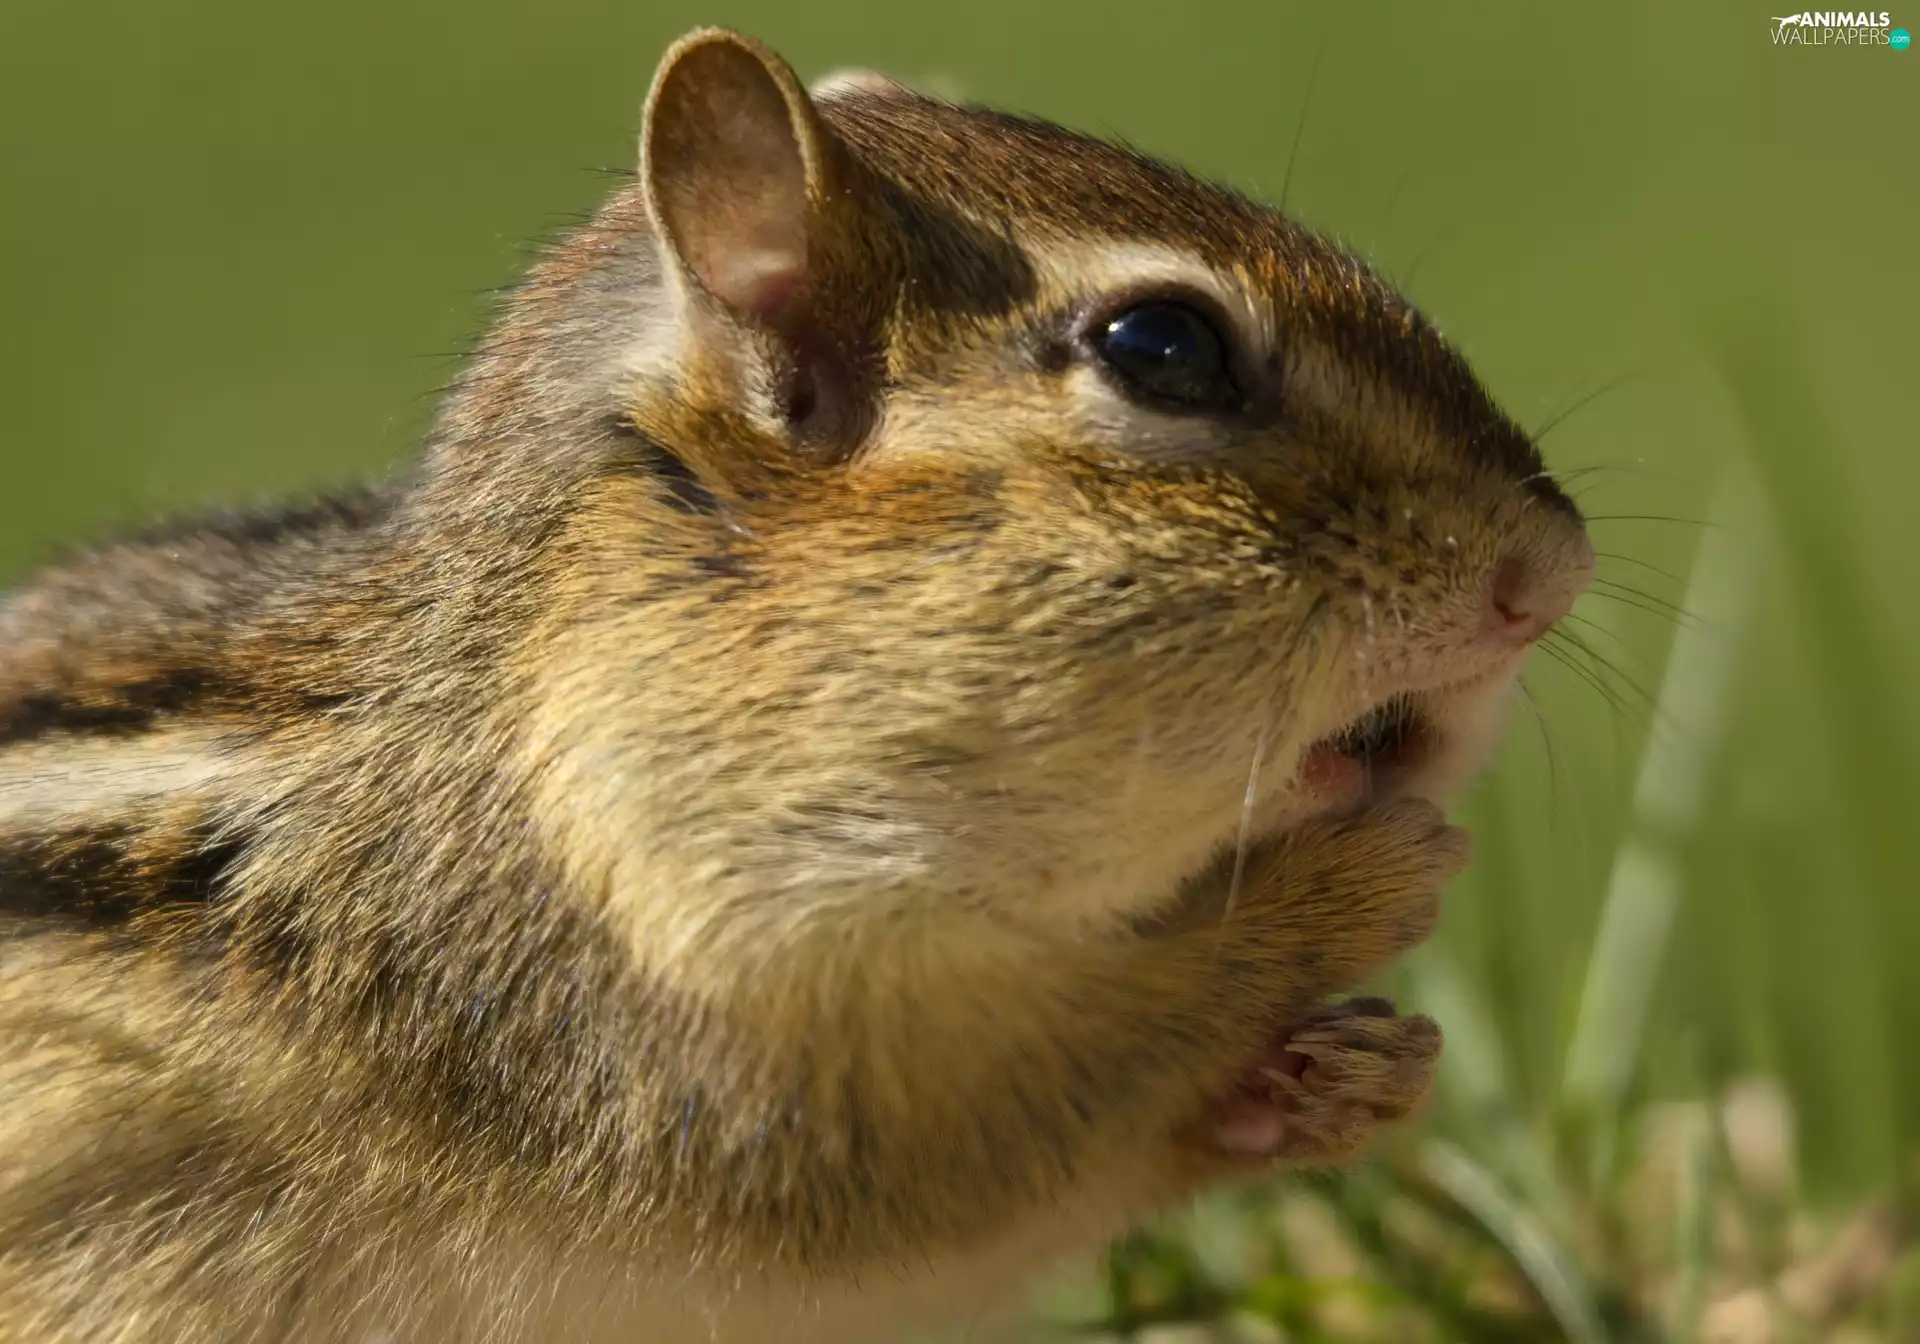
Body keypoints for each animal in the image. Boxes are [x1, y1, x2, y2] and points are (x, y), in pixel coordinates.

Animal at [0, 27, 1595, 1344]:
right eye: (1165, 349)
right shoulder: (636, 1044)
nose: (1555, 567)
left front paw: (1348, 1077)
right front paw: (1344, 896)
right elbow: (983, 1142)